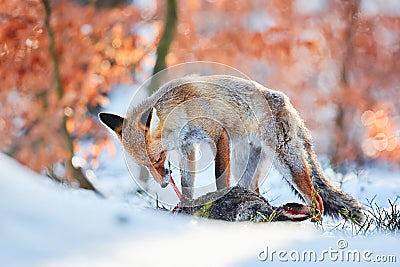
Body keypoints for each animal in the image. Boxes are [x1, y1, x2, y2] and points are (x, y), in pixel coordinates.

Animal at [100, 75, 366, 222]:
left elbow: (220, 180)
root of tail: (288, 104)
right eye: (145, 165)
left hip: (288, 163)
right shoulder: (188, 147)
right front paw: (185, 207)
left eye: (157, 159)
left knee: (319, 201)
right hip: (245, 167)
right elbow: (187, 185)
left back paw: (309, 219)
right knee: (258, 193)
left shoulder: (219, 135)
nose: (164, 184)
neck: (182, 110)